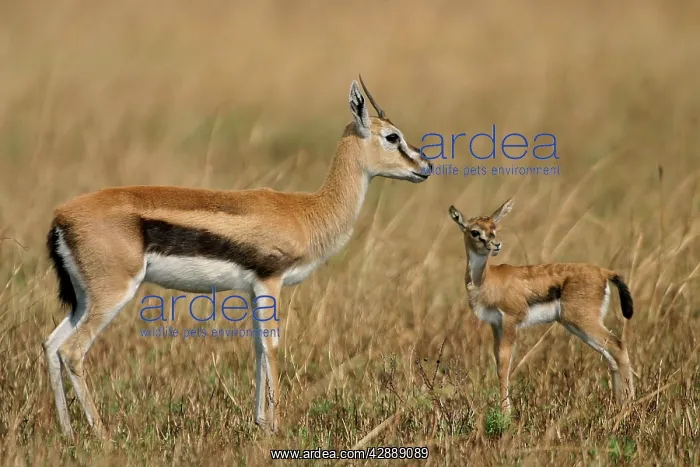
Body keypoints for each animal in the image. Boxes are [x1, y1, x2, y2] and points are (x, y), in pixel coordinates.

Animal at [43, 76, 433, 439]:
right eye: (393, 137)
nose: (426, 166)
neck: (306, 212)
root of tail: (62, 216)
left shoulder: (252, 289)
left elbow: (258, 346)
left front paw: (260, 424)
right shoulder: (270, 282)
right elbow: (272, 345)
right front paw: (276, 428)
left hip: (84, 300)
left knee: (51, 344)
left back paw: (68, 432)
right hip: (113, 293)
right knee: (72, 351)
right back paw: (102, 434)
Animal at [448, 199, 635, 413]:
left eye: (494, 227)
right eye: (474, 231)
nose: (496, 244)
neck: (487, 280)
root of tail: (604, 272)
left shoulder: (510, 322)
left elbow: (504, 366)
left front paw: (506, 414)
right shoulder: (496, 325)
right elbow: (498, 364)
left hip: (583, 322)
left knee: (618, 346)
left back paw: (629, 406)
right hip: (575, 325)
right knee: (611, 357)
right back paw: (620, 405)